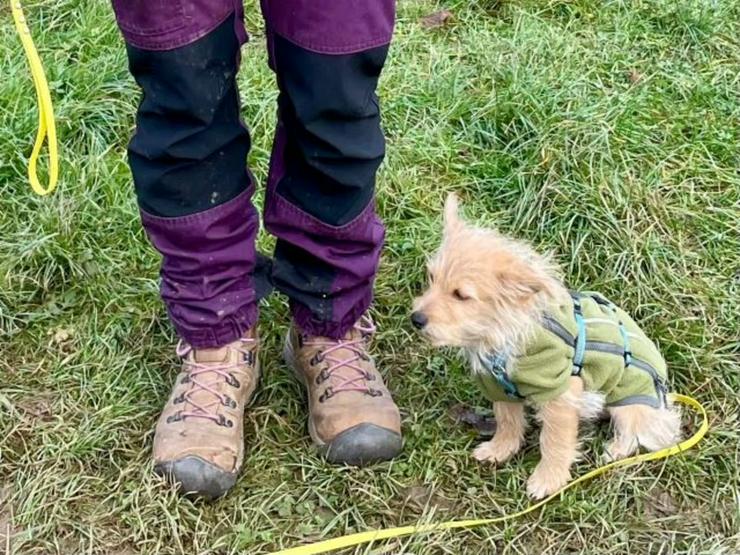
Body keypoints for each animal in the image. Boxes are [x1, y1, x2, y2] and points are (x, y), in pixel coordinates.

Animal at [414, 194, 680, 500]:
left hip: (630, 401)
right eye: (431, 278)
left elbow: (554, 441)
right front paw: (500, 449)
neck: (501, 336)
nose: (415, 318)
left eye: (461, 295)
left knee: (643, 430)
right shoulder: (500, 388)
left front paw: (548, 479)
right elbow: (507, 421)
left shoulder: (560, 393)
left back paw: (615, 451)